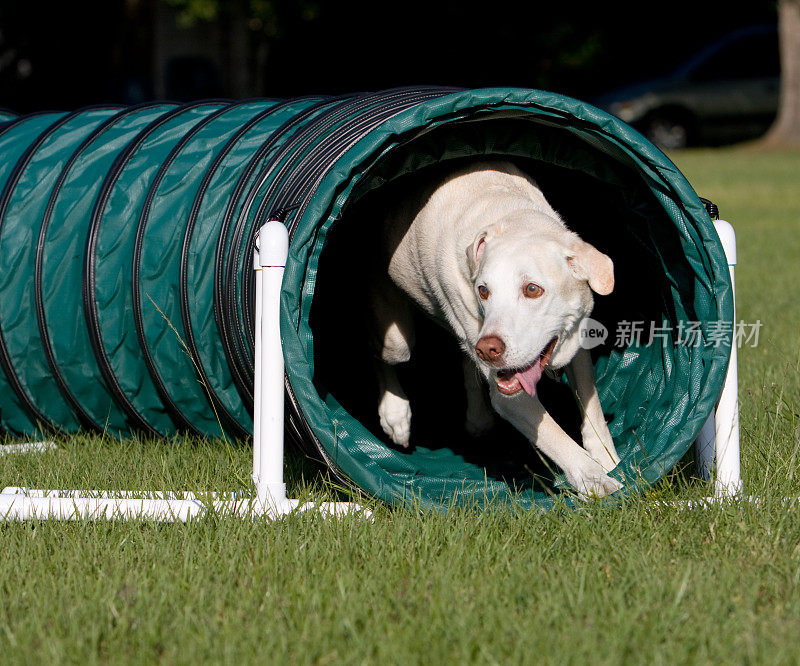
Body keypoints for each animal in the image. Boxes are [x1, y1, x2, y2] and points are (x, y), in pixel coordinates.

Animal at [372, 160, 620, 492]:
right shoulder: (511, 396)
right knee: (383, 356)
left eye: (532, 289)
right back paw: (395, 415)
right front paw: (596, 480)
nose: (488, 350)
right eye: (483, 290)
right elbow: (555, 436)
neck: (509, 214)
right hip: (397, 339)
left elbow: (591, 404)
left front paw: (610, 461)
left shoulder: (575, 339)